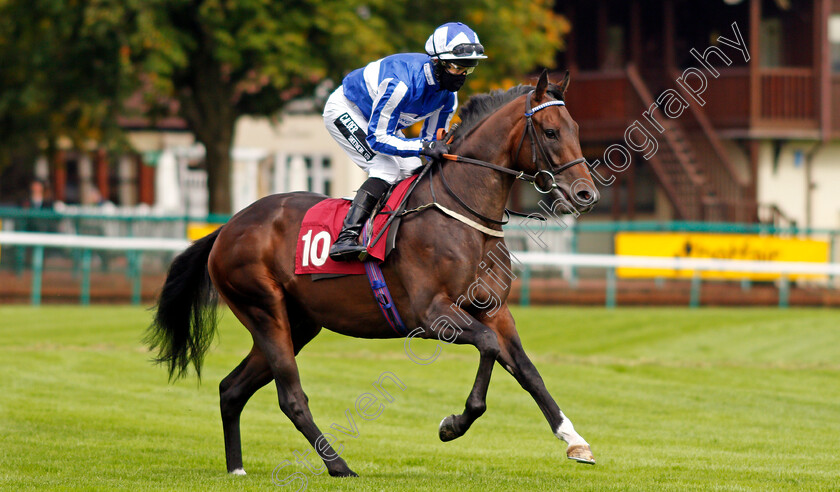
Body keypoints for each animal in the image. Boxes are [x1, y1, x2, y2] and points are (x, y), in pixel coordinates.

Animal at [148, 69, 600, 476]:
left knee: (231, 389)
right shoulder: (433, 315)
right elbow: (488, 349)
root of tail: (227, 227)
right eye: (549, 131)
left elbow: (527, 371)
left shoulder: (494, 310)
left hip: (299, 323)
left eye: (576, 128)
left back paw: (237, 468)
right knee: (290, 396)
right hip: (263, 310)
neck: (463, 215)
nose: (586, 193)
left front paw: (574, 440)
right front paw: (452, 425)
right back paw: (338, 465)